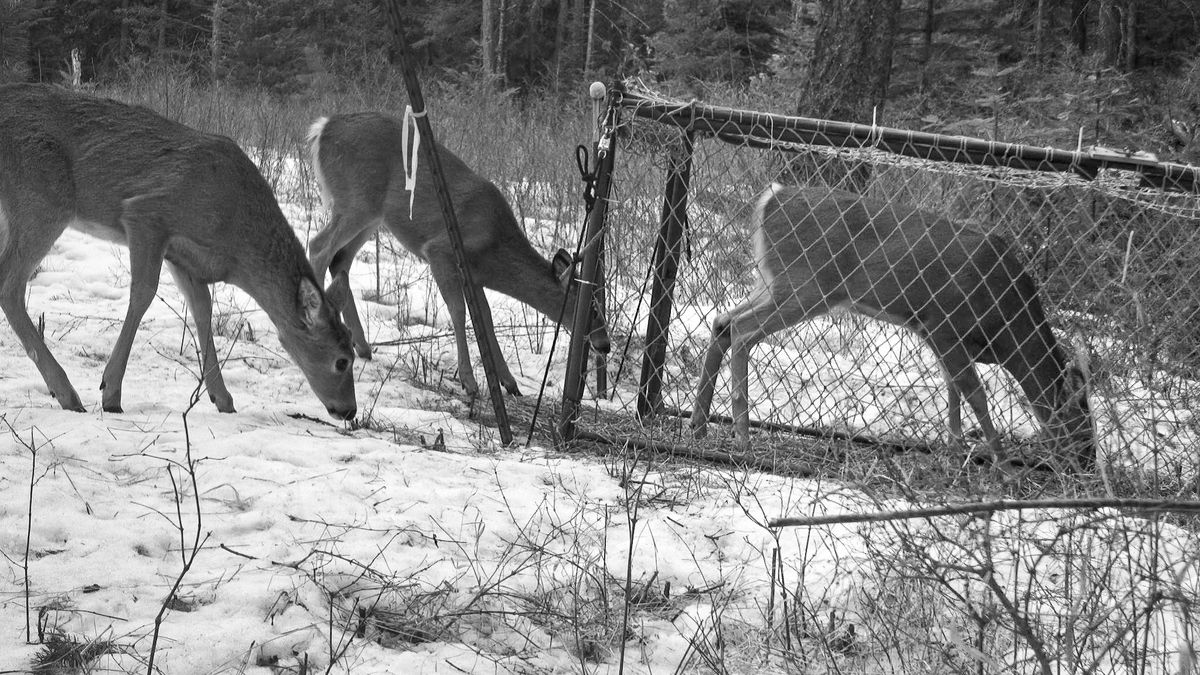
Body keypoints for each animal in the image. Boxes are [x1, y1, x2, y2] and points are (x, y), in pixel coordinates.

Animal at [0, 82, 355, 417]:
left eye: (353, 351)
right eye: (342, 360)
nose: (349, 410)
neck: (235, 238)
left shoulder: (185, 258)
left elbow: (203, 309)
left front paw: (222, 398)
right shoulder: (147, 214)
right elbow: (143, 294)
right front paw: (110, 392)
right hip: (42, 199)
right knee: (9, 285)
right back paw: (66, 393)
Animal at [309, 109, 609, 393]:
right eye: (591, 309)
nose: (604, 344)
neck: (494, 245)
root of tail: (322, 128)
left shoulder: (474, 277)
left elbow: (486, 319)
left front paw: (509, 382)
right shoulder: (440, 251)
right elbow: (458, 311)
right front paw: (470, 381)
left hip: (372, 214)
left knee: (340, 260)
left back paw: (362, 345)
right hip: (356, 201)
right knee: (319, 248)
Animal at [696, 182, 1099, 468]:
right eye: (1082, 425)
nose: (1089, 468)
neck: (1006, 328)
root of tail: (772, 197)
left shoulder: (936, 335)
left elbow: (952, 390)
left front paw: (955, 456)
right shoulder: (943, 324)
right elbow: (974, 393)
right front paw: (1001, 466)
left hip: (772, 282)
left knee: (722, 321)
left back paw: (699, 425)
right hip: (804, 284)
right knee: (742, 331)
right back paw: (742, 435)